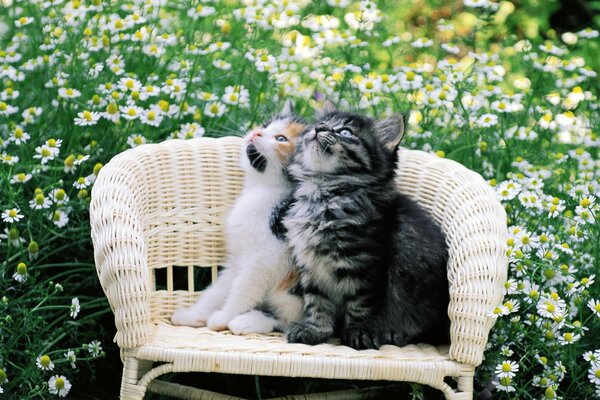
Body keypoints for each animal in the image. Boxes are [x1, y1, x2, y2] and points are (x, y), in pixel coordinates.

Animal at [172, 100, 304, 334]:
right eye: (265, 125)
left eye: (281, 139)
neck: (261, 189)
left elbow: (243, 289)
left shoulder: (266, 258)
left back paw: (248, 321)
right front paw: (194, 315)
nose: (256, 132)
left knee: (288, 321)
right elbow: (219, 289)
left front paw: (224, 316)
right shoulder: (238, 257)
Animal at [284, 103, 448, 350]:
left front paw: (359, 334)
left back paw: (396, 334)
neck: (324, 195)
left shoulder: (366, 267)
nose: (319, 128)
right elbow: (317, 303)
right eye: (320, 124)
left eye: (345, 132)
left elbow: (361, 306)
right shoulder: (312, 268)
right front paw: (314, 331)